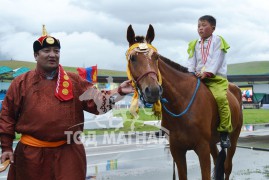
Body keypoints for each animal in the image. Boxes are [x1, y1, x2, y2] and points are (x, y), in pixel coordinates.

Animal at [125, 24, 243, 180]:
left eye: (156, 57)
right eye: (133, 58)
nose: (153, 90)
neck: (181, 104)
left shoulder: (202, 148)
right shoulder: (177, 150)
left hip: (234, 137)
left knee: (227, 166)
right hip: (212, 143)